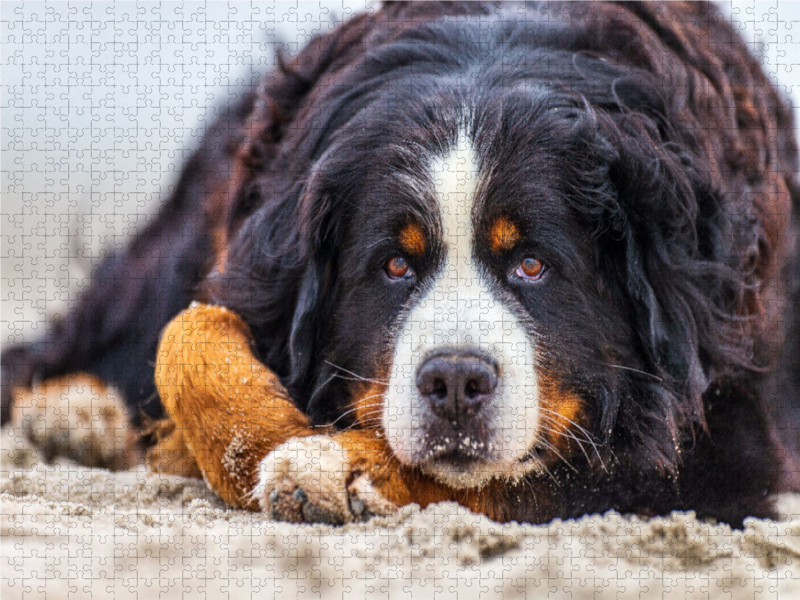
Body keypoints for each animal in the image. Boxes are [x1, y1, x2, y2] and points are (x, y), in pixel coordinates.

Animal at [1, 1, 800, 524]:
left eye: (531, 265)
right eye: (394, 267)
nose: (455, 382)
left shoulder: (716, 442)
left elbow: (530, 476)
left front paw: (339, 464)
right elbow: (188, 336)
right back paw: (71, 412)